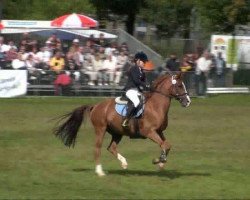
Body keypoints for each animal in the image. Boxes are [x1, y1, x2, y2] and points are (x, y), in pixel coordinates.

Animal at [53, 72, 190, 176]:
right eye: (179, 85)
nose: (188, 102)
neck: (156, 105)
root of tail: (95, 106)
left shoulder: (159, 131)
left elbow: (166, 145)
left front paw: (160, 162)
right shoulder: (149, 132)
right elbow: (164, 145)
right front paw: (159, 160)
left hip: (117, 132)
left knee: (111, 148)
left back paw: (124, 163)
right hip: (100, 129)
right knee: (97, 148)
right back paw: (100, 172)